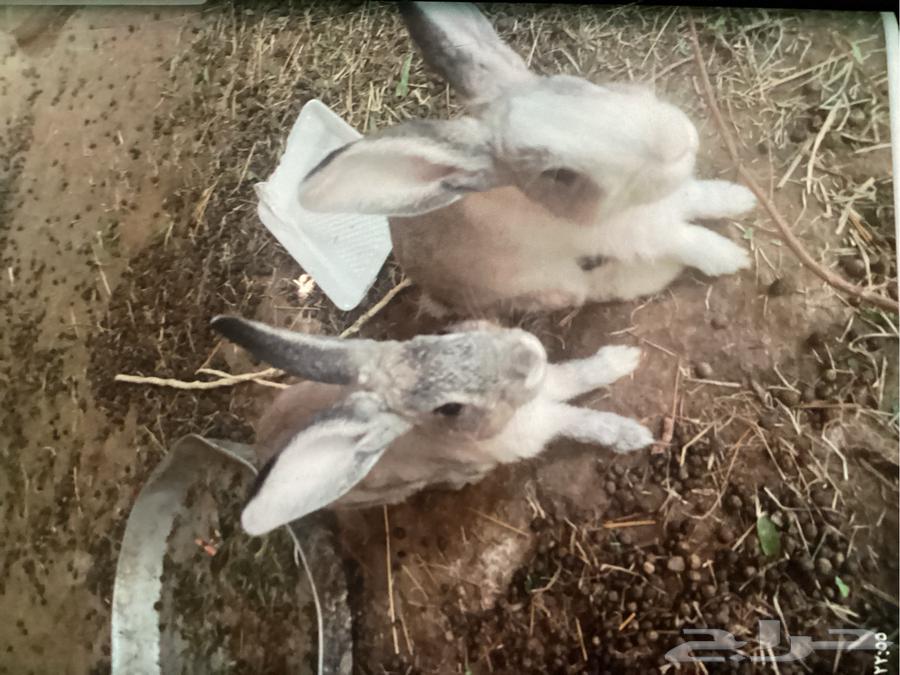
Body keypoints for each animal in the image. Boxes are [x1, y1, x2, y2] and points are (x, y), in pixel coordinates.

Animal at [210, 315, 654, 536]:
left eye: (441, 332)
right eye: (450, 408)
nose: (528, 356)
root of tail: (258, 451)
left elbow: (580, 374)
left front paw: (623, 358)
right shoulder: (542, 426)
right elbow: (580, 420)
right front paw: (634, 435)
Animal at [296, 2, 757, 316]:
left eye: (578, 84)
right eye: (559, 175)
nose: (674, 142)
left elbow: (698, 196)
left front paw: (741, 199)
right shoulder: (632, 234)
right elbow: (687, 239)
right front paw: (733, 259)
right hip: (550, 280)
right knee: (591, 289)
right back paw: (659, 275)